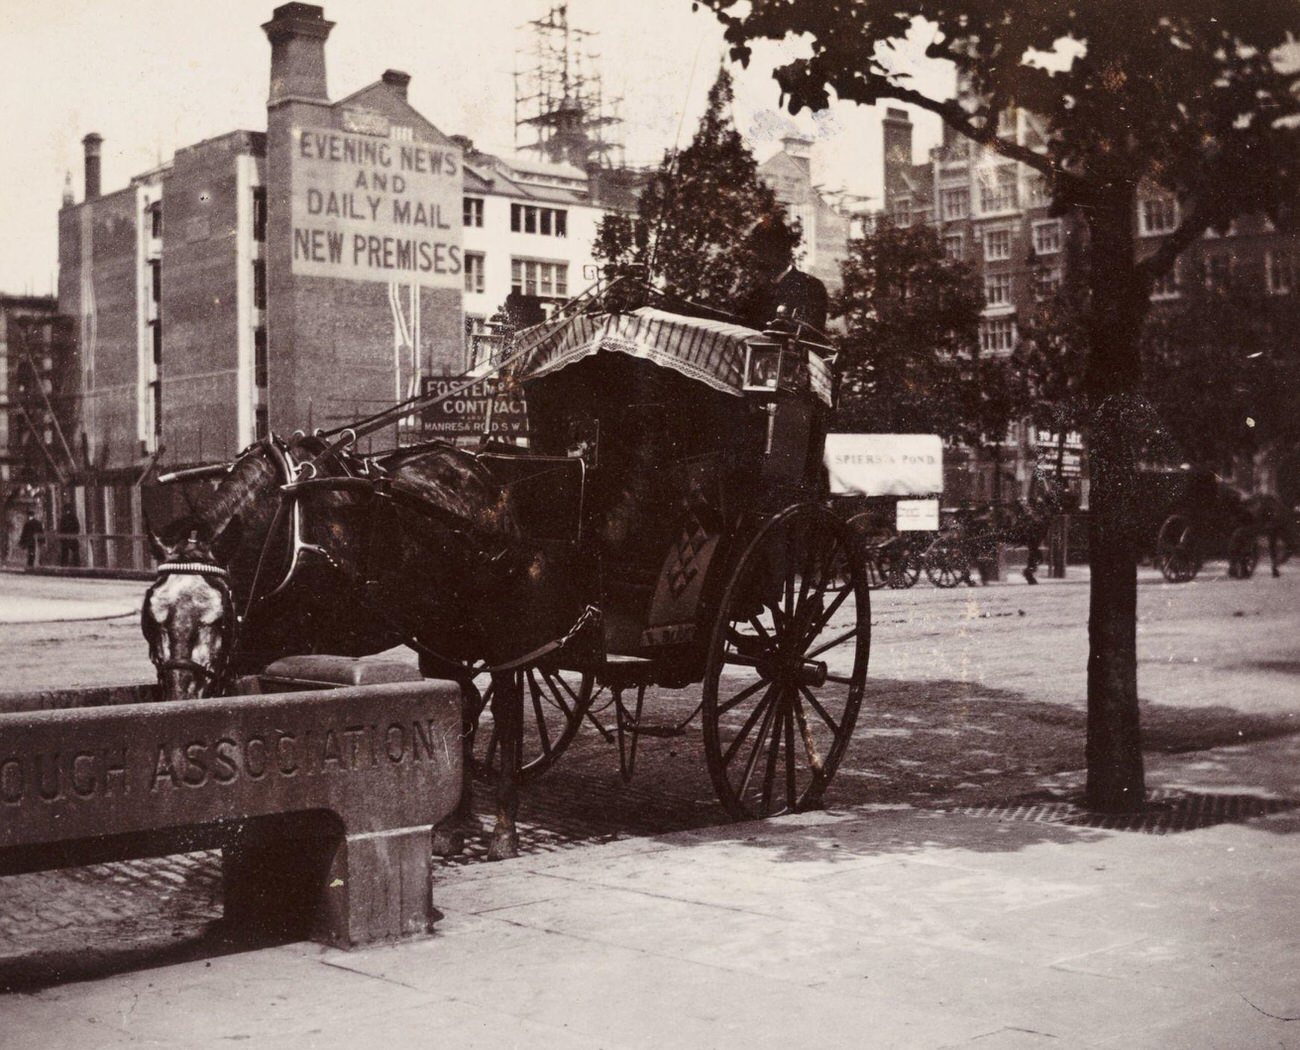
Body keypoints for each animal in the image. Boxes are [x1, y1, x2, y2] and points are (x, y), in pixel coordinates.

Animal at [142, 431, 590, 857]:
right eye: (150, 620)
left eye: (217, 619)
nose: (181, 703)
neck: (283, 525)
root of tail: (482, 474)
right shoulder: (248, 655)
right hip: (440, 628)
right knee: (461, 700)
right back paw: (452, 825)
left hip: (501, 630)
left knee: (507, 708)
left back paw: (503, 827)